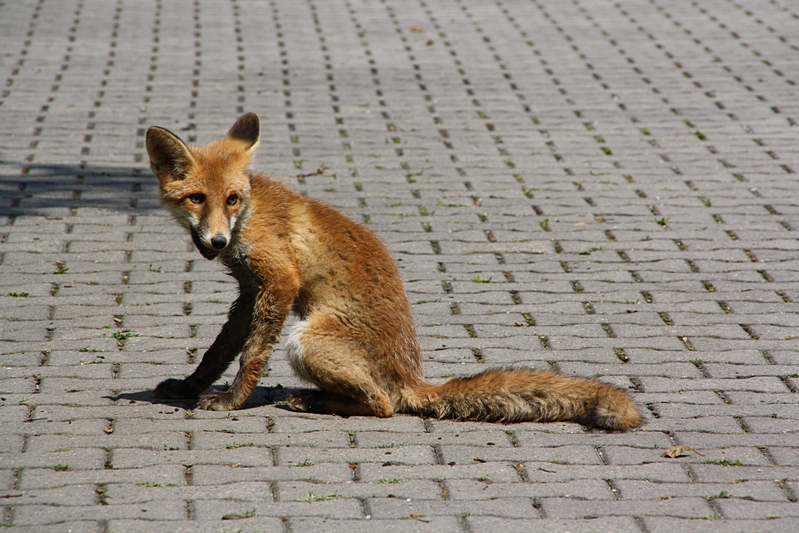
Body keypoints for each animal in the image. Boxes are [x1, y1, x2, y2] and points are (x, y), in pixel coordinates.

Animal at [144, 113, 642, 430]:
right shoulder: (250, 290)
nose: (217, 242)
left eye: (231, 199)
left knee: (384, 405)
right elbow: (218, 351)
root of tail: (410, 376)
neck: (250, 215)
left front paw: (233, 401)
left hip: (306, 340)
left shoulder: (279, 281)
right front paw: (189, 386)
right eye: (196, 199)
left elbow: (251, 356)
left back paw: (312, 400)